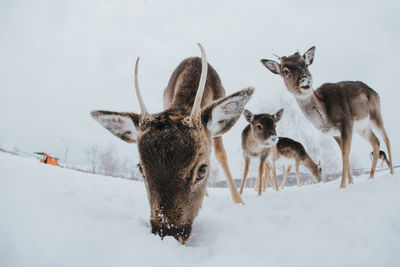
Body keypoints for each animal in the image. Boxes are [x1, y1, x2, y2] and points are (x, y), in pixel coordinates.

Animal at [260, 46, 394, 188]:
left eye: (305, 64)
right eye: (285, 71)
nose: (305, 78)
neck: (326, 116)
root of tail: (374, 92)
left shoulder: (346, 122)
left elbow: (345, 153)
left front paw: (342, 185)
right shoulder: (335, 133)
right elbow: (344, 154)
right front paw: (350, 183)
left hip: (375, 113)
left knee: (386, 138)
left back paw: (391, 172)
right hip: (362, 128)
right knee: (376, 141)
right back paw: (370, 177)